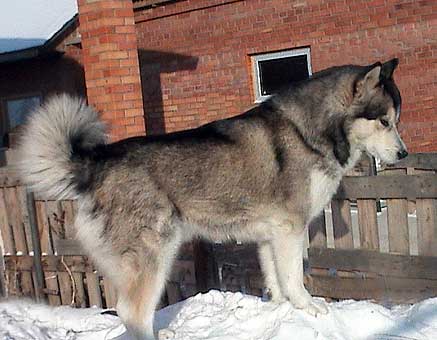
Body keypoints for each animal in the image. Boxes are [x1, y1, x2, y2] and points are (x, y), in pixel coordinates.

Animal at [17, 59, 406, 340]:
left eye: (395, 120)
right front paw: (309, 308)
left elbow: (277, 280)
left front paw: (280, 311)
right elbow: (294, 277)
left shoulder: (270, 234)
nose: (403, 154)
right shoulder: (290, 229)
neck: (308, 132)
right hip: (155, 253)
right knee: (132, 312)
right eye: (384, 121)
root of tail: (96, 162)